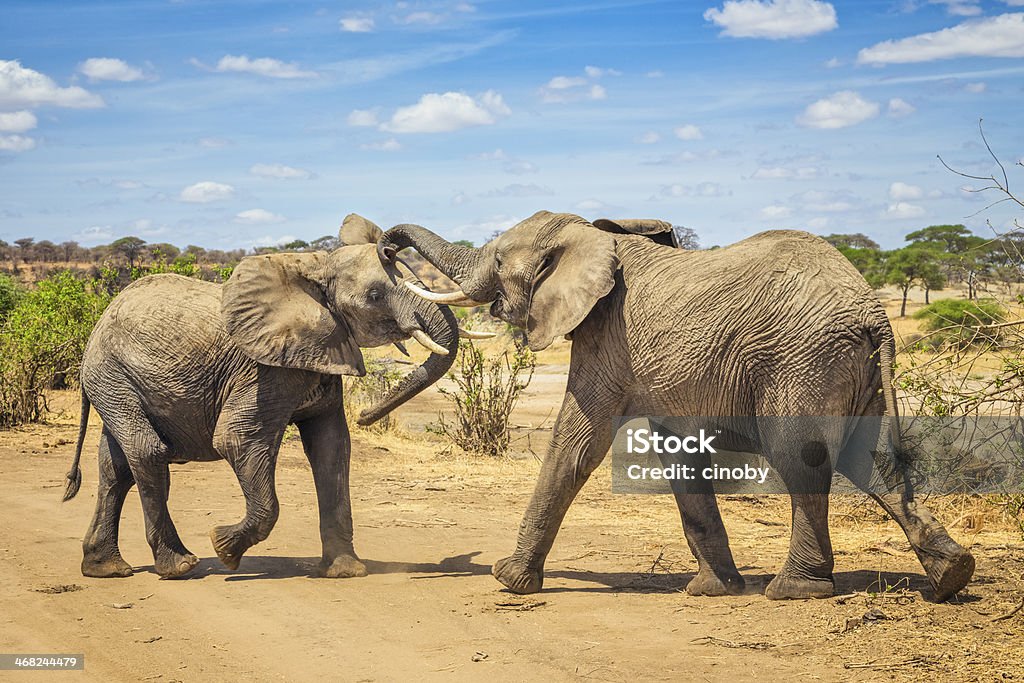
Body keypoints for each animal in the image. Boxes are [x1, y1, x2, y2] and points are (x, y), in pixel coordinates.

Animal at [60, 216, 479, 581]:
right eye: (375, 295)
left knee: (115, 467)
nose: (366, 416)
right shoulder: (263, 370)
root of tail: (98, 324)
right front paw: (224, 549)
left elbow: (332, 447)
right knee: (147, 451)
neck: (316, 270)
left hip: (116, 380)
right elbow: (238, 440)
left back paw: (106, 569)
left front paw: (345, 572)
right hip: (112, 374)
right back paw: (180, 566)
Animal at [378, 210, 974, 602]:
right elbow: (678, 453)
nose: (386, 249)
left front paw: (509, 579)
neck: (593, 237)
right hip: (855, 369)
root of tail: (873, 310)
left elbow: (578, 441)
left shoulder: (605, 332)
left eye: (499, 258)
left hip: (803, 358)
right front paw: (714, 590)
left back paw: (794, 591)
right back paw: (953, 575)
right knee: (867, 462)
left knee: (802, 460)